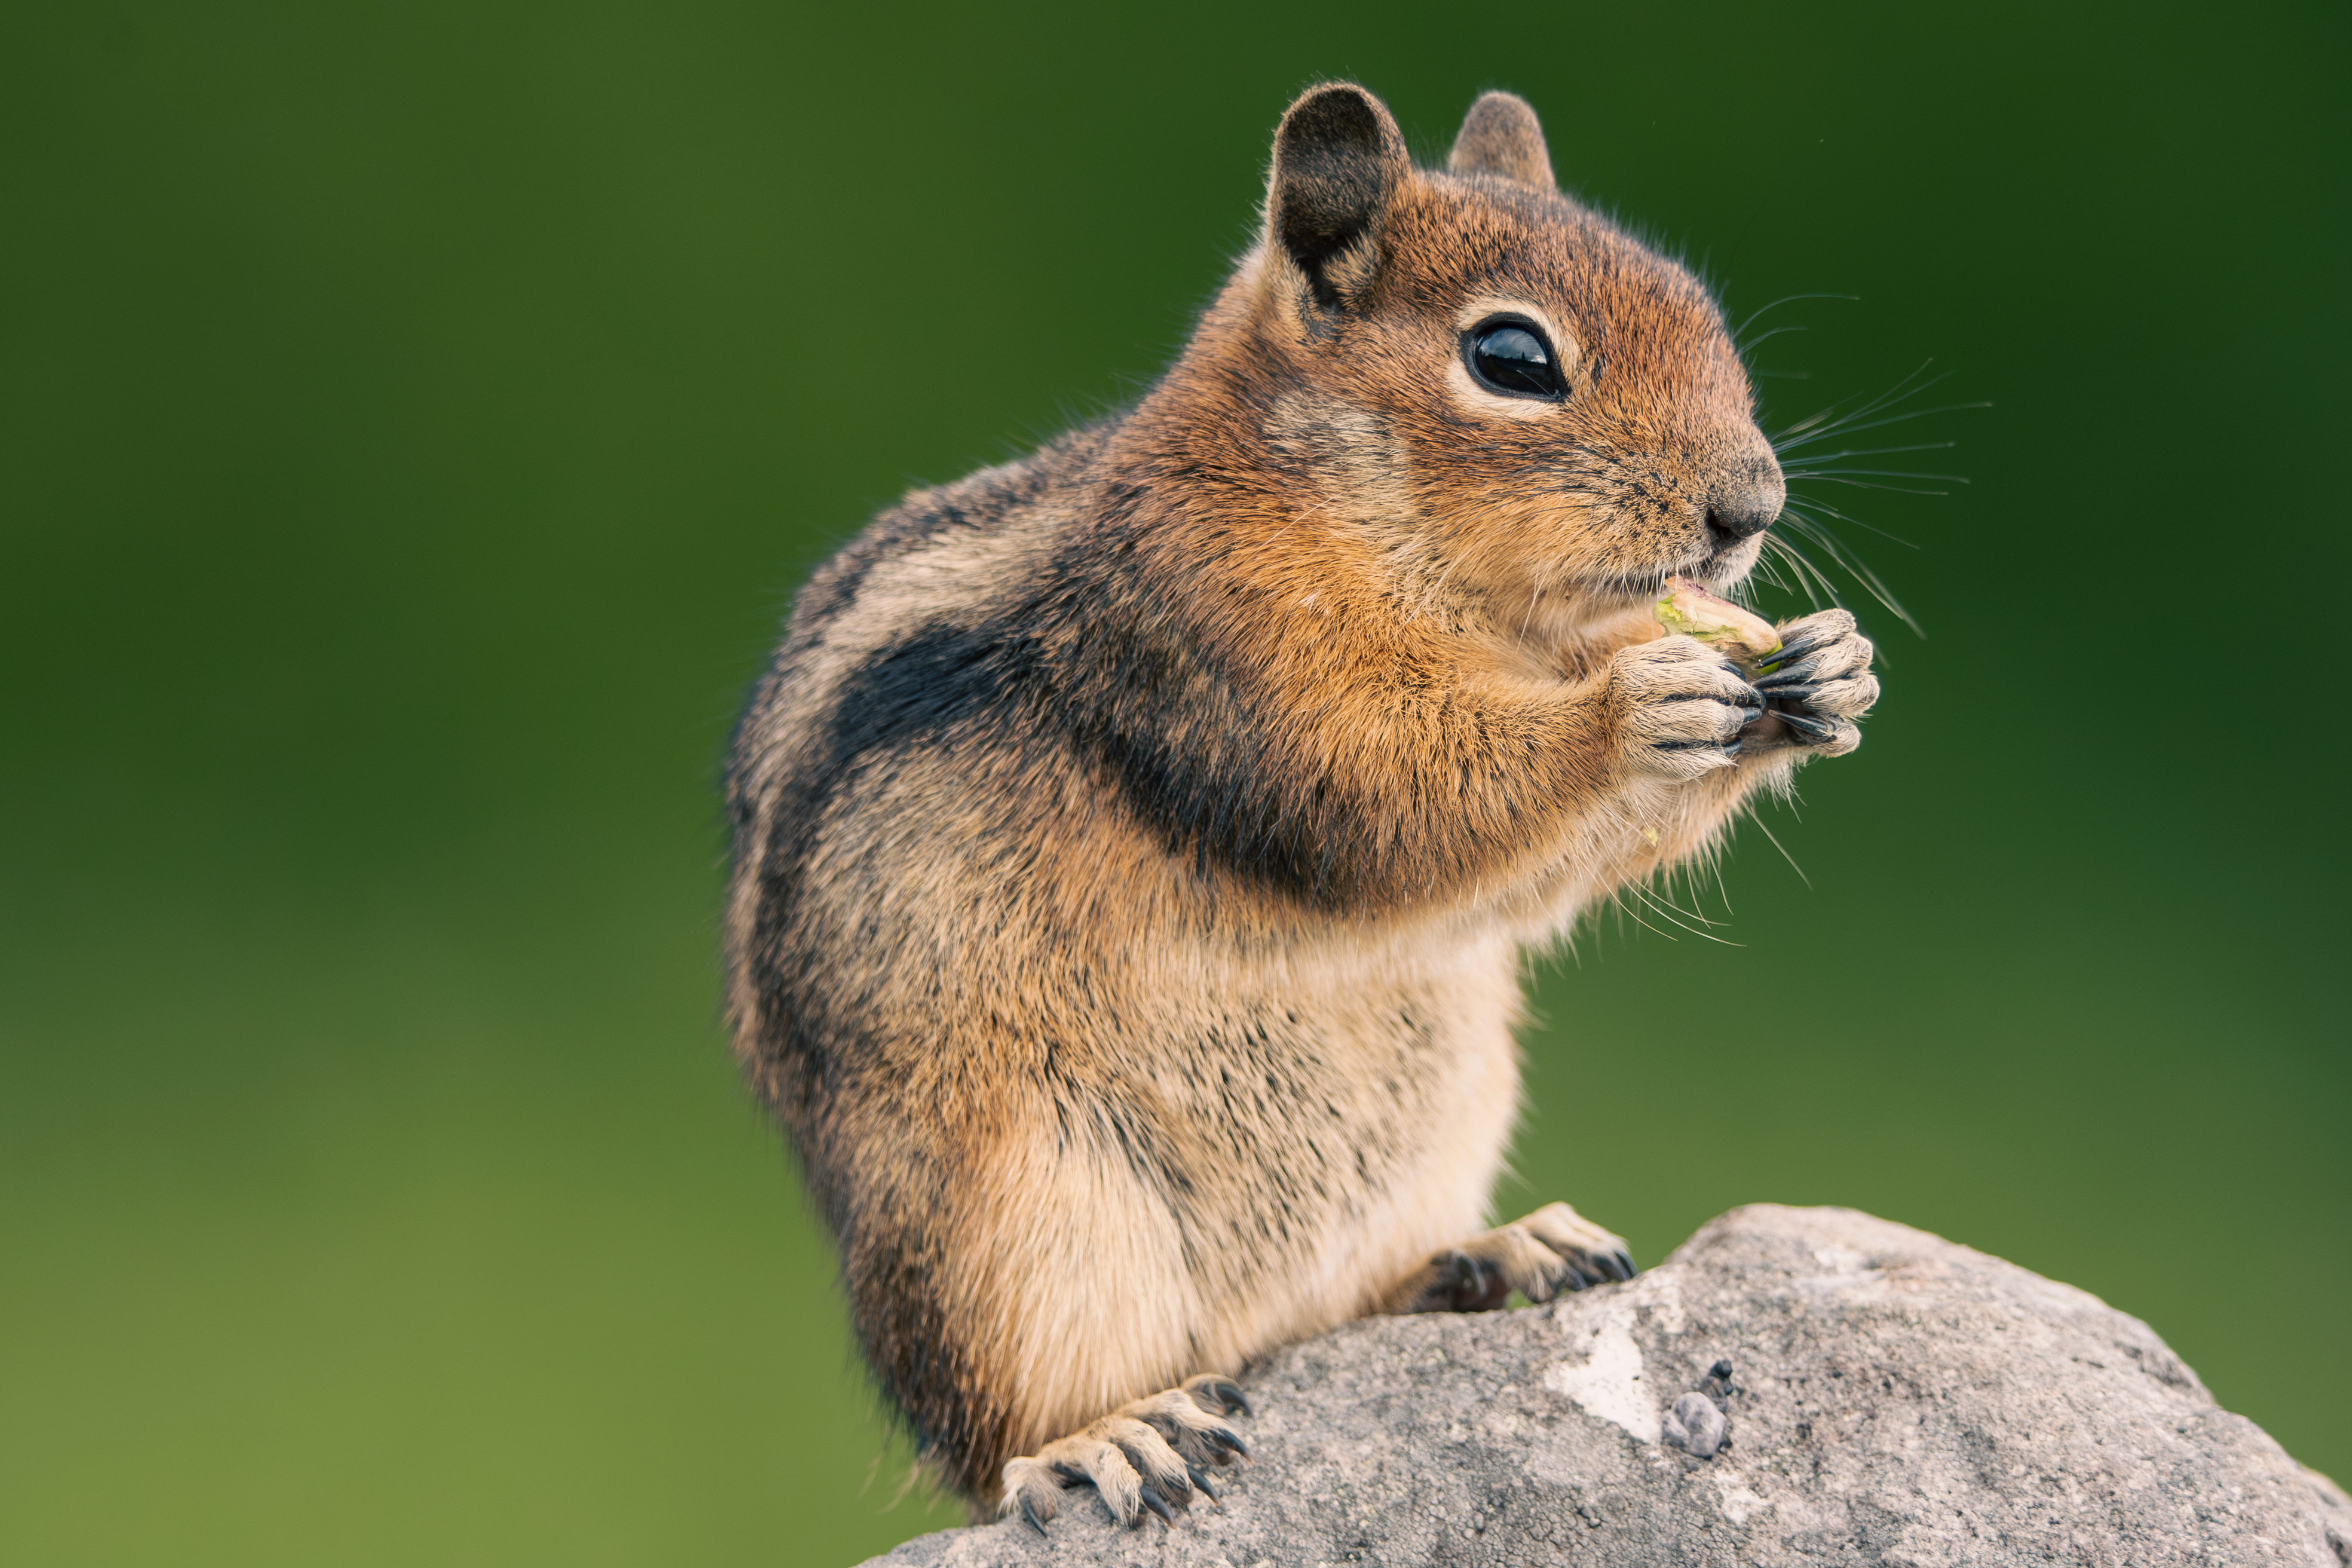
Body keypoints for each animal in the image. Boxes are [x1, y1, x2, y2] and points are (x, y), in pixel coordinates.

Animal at [723, 83, 1880, 1529]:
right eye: (1512, 358)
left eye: (1701, 313)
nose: (1751, 508)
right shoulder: (1220, 650)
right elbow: (1389, 794)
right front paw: (1630, 710)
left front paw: (1828, 666)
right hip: (1011, 1227)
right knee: (998, 1448)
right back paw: (1106, 1438)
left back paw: (1490, 1255)